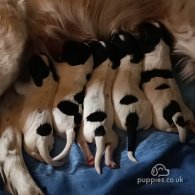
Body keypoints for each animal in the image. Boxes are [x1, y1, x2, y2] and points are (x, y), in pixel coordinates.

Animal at [77, 40, 118, 174]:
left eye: (92, 44)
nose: (87, 41)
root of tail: (98, 131)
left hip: (82, 133)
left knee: (82, 143)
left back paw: (90, 158)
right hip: (112, 137)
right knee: (108, 149)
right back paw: (110, 162)